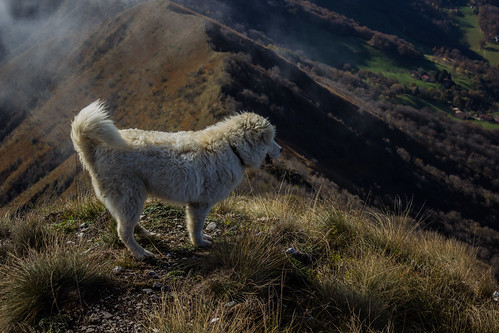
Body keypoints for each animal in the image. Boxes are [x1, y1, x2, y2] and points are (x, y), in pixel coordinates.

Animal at [71, 100, 282, 258]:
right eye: (271, 139)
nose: (280, 150)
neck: (232, 146)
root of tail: (95, 149)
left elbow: (196, 226)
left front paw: (202, 239)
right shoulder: (200, 204)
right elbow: (196, 227)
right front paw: (200, 243)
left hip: (129, 199)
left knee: (127, 224)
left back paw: (146, 233)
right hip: (131, 195)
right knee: (123, 231)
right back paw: (141, 253)